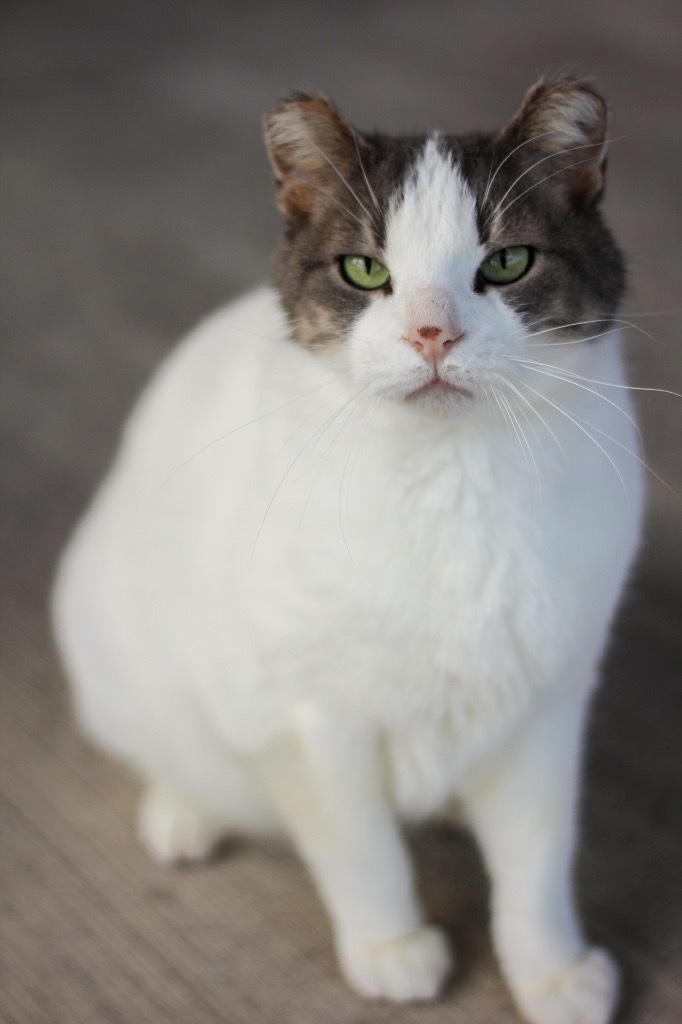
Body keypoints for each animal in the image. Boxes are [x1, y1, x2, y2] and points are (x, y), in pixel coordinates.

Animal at [53, 77, 643, 1024]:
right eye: (366, 270)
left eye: (508, 263)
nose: (433, 335)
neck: (450, 483)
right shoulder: (310, 719)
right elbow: (361, 847)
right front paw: (390, 947)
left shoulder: (546, 707)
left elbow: (538, 855)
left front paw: (548, 970)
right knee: (170, 747)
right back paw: (185, 810)